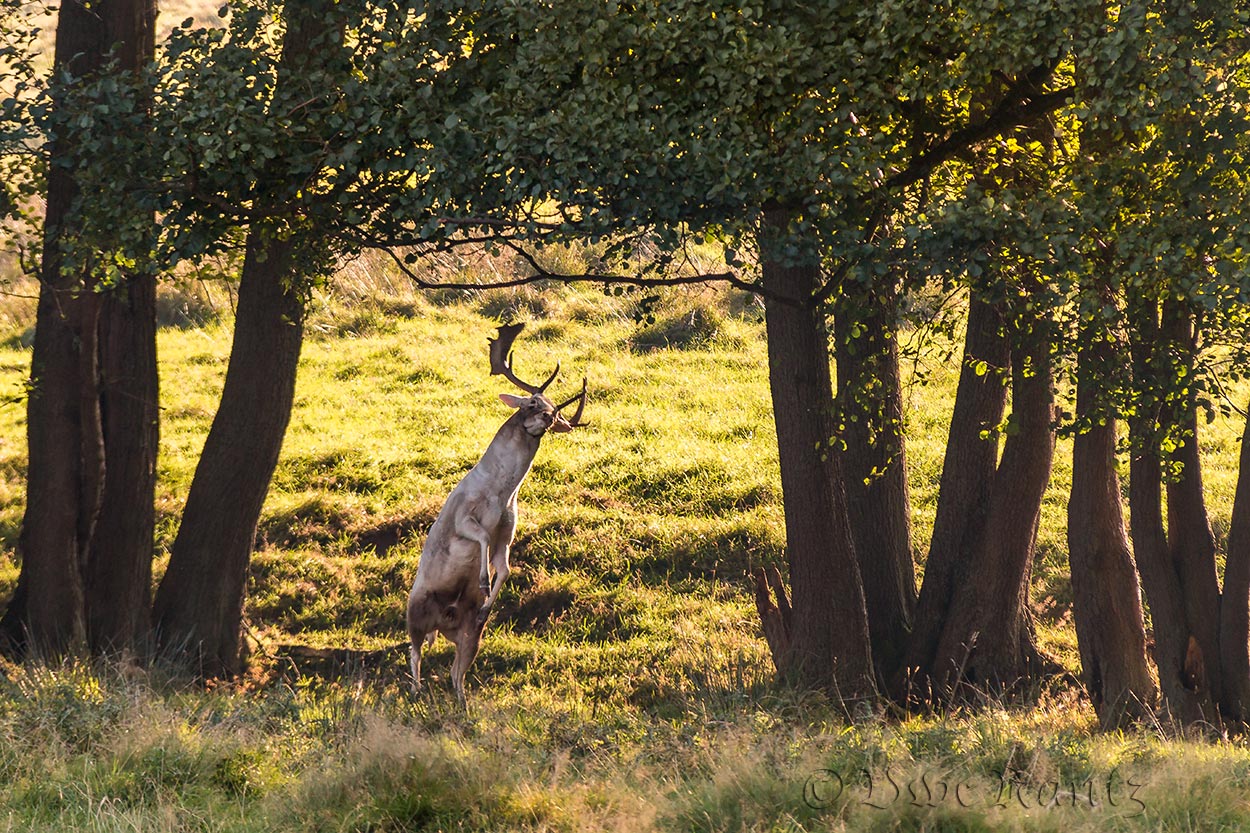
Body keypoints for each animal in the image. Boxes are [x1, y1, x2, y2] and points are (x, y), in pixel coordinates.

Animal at [407, 322, 587, 700]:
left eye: (556, 408)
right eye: (533, 401)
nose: (549, 417)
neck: (501, 494)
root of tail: (440, 625)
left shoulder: (508, 531)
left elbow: (506, 566)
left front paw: (487, 603)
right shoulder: (463, 516)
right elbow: (480, 538)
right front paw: (482, 582)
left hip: (469, 639)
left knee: (455, 672)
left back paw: (462, 701)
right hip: (414, 609)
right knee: (414, 651)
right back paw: (415, 691)